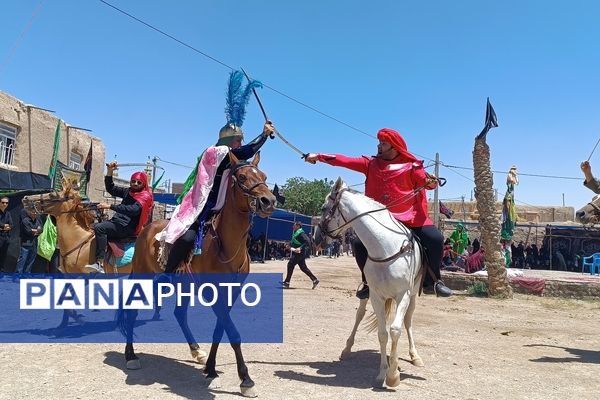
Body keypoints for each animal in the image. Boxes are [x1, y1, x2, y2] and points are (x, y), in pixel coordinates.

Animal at [123, 152, 278, 396]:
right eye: (243, 177)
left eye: (264, 176)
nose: (269, 201)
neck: (227, 246)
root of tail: (147, 229)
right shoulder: (211, 292)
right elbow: (232, 332)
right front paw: (246, 379)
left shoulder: (230, 292)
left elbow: (221, 330)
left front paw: (211, 368)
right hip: (142, 276)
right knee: (132, 310)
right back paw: (130, 355)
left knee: (179, 314)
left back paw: (196, 351)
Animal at [314, 177, 426, 388]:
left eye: (324, 207)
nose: (316, 238)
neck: (386, 246)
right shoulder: (376, 296)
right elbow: (382, 334)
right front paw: (383, 373)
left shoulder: (403, 295)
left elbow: (396, 329)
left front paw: (393, 374)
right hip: (368, 296)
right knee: (359, 315)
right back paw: (347, 349)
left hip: (413, 295)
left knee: (408, 320)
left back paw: (415, 356)